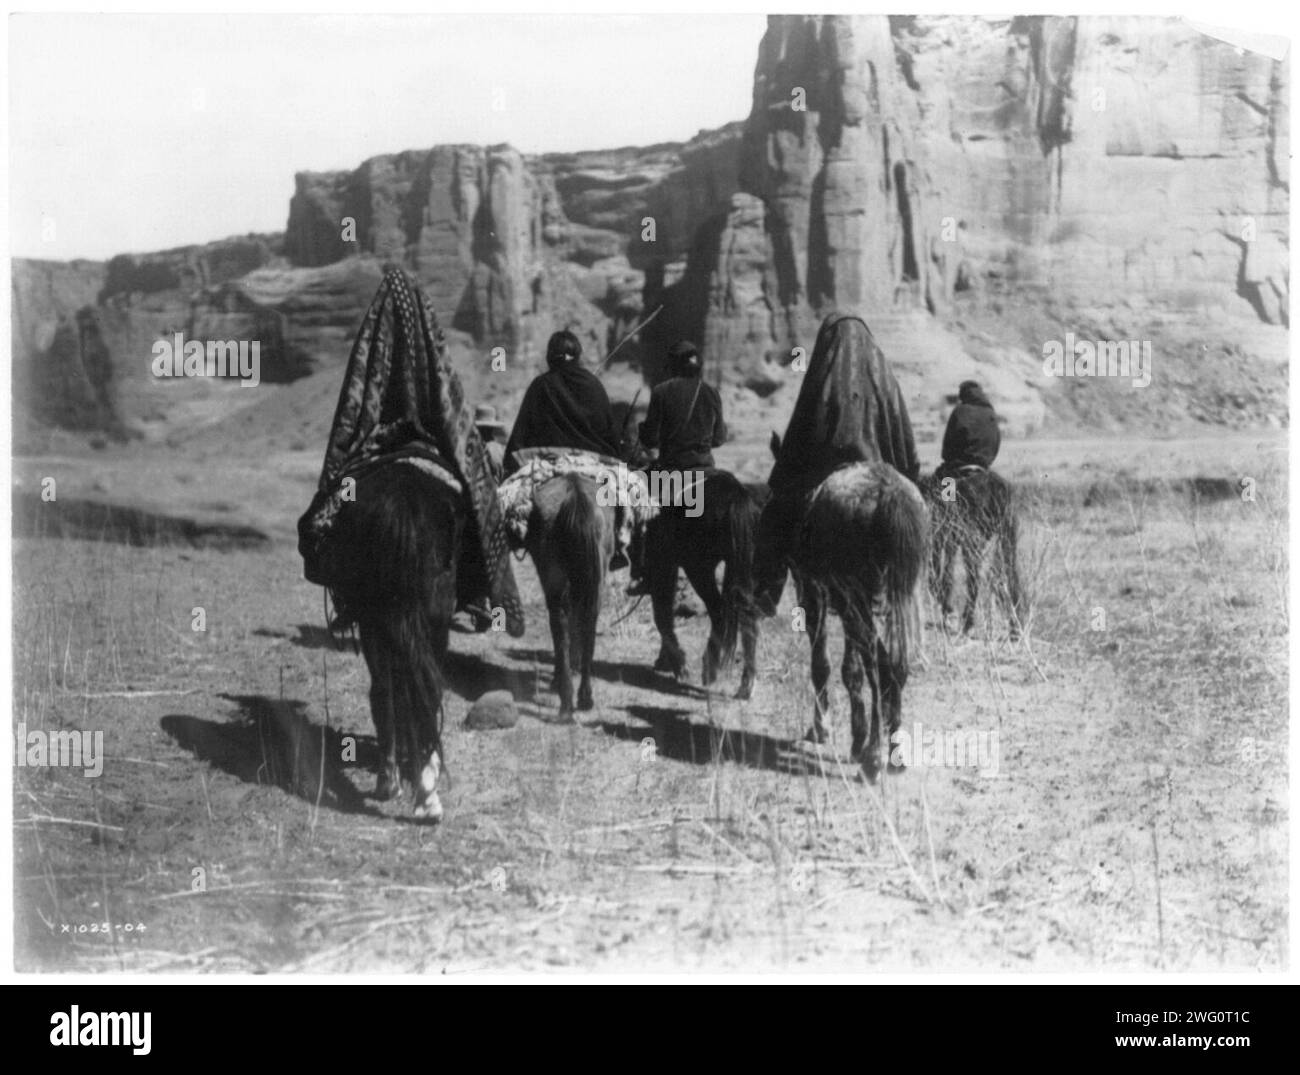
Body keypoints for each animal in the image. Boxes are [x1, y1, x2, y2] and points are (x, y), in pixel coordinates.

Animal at [318, 457, 462, 821]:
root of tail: (402, 501)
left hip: (377, 623)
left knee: (387, 690)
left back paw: (396, 783)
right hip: (433, 622)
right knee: (424, 690)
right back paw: (426, 789)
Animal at [525, 473, 616, 717]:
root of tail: (575, 497)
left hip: (556, 583)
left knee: (560, 627)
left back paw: (565, 695)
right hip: (595, 582)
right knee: (588, 627)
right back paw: (584, 696)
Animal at [642, 467, 764, 701]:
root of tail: (735, 493)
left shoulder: (663, 566)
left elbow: (662, 615)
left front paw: (678, 666)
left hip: (699, 570)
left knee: (718, 612)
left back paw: (709, 670)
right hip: (741, 570)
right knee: (748, 617)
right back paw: (746, 685)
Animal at [759, 434, 930, 779]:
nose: (761, 596)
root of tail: (887, 494)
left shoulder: (813, 591)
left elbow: (822, 663)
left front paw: (823, 729)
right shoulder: (846, 601)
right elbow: (851, 667)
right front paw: (857, 737)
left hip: (854, 595)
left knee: (879, 664)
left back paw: (874, 757)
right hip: (900, 596)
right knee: (895, 664)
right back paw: (892, 750)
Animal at [925, 465, 1024, 639]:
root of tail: (996, 486)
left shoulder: (942, 540)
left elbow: (940, 578)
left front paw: (948, 611)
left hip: (972, 542)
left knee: (974, 581)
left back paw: (968, 622)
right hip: (1006, 539)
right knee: (1010, 578)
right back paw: (1015, 628)